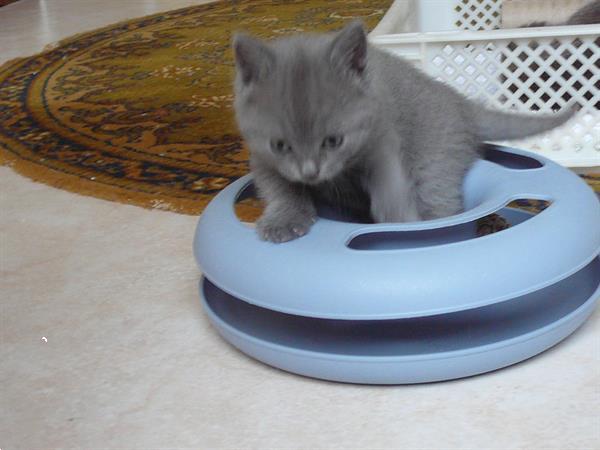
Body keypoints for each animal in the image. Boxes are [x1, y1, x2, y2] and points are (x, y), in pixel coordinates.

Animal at [232, 22, 576, 243]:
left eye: (334, 141)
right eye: (280, 145)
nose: (310, 172)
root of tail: (461, 103)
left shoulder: (382, 138)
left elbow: (390, 185)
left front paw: (400, 227)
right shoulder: (261, 156)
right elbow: (279, 188)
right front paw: (284, 220)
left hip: (434, 161)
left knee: (441, 201)